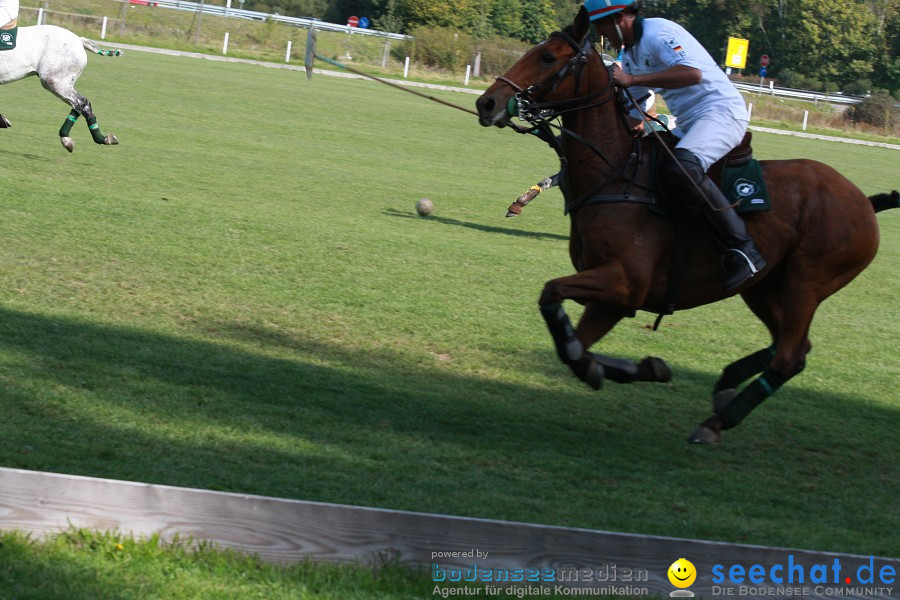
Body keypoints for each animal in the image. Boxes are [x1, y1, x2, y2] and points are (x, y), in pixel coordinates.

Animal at [474, 7, 896, 442]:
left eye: (547, 57)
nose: (488, 103)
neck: (616, 173)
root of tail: (864, 202)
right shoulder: (613, 299)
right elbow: (572, 346)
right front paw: (642, 368)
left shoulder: (624, 282)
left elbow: (553, 298)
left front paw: (612, 368)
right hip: (765, 287)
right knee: (792, 345)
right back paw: (726, 384)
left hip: (806, 281)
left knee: (790, 356)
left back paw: (715, 422)